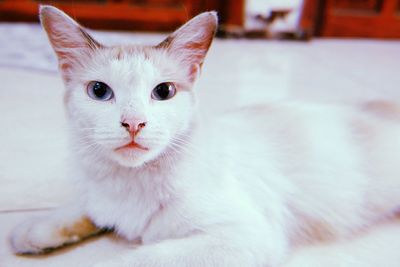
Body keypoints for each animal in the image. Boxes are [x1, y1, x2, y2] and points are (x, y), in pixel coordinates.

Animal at [8, 4, 400, 267]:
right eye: (100, 92)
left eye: (163, 92)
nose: (133, 123)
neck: (131, 180)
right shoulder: (100, 197)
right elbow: (84, 207)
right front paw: (33, 231)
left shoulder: (242, 236)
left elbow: (136, 259)